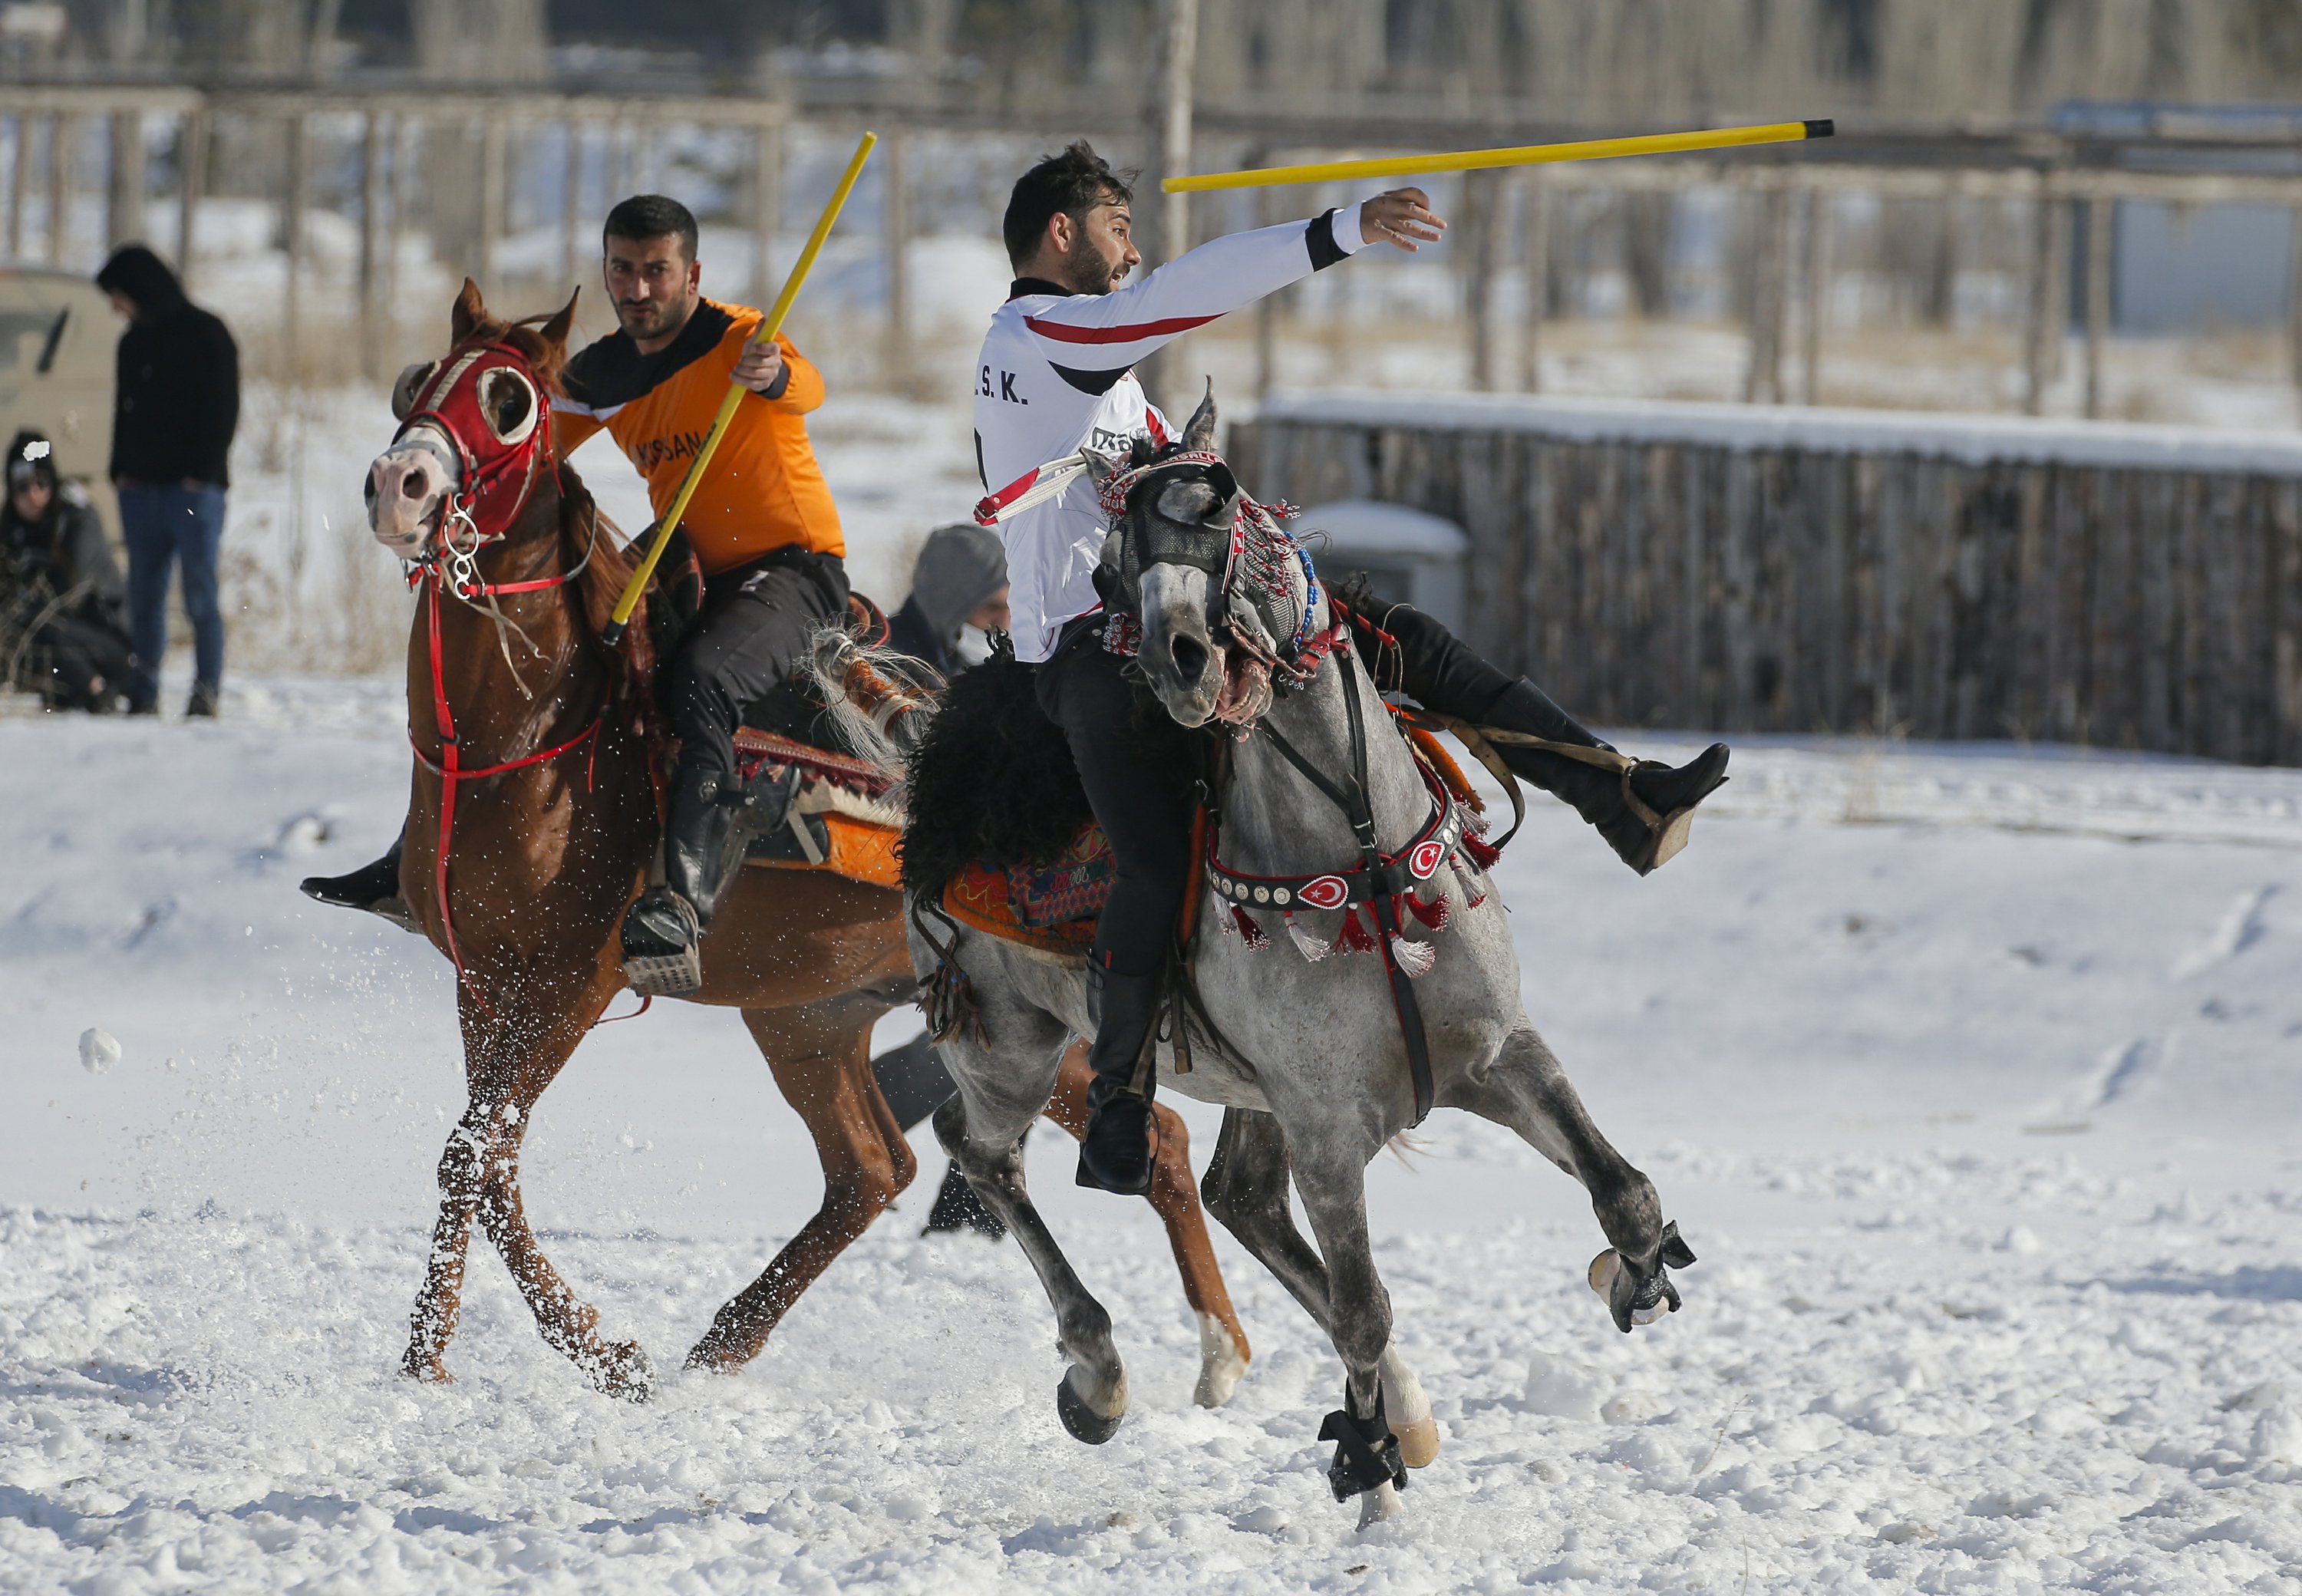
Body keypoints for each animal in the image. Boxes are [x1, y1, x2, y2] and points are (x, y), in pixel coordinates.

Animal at [366, 279, 1252, 1400]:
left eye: (513, 401)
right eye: (417, 383)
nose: (398, 485)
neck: (532, 733)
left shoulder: (570, 980)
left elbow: (474, 1153)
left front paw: (596, 1349)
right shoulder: (485, 978)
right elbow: (483, 1164)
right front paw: (428, 1358)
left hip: (1022, 1013)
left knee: (1161, 1139)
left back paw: (1225, 1352)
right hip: (814, 1013)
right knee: (874, 1167)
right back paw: (724, 1342)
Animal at [879, 387, 1694, 1519]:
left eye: (1226, 513)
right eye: (1113, 564)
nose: (1178, 658)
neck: (1357, 854)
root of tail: (925, 778)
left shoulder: (1499, 1055)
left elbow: (1625, 1189)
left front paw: (1635, 1273)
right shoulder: (1328, 1128)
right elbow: (1362, 1305)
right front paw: (1367, 1470)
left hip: (1231, 1090)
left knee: (1236, 1198)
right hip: (1010, 1048)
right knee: (985, 1151)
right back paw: (1101, 1372)